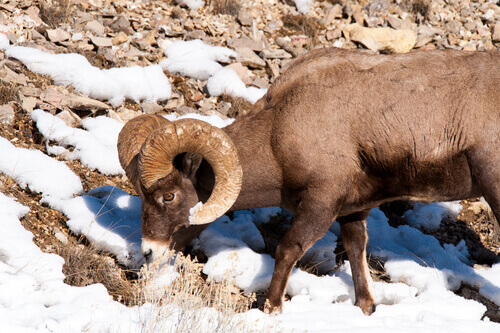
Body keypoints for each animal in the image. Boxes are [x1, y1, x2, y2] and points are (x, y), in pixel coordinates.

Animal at [118, 46, 500, 314]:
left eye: (168, 196)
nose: (148, 252)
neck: (278, 132)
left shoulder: (320, 203)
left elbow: (287, 249)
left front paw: (271, 308)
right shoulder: (351, 211)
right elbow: (356, 250)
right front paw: (366, 308)